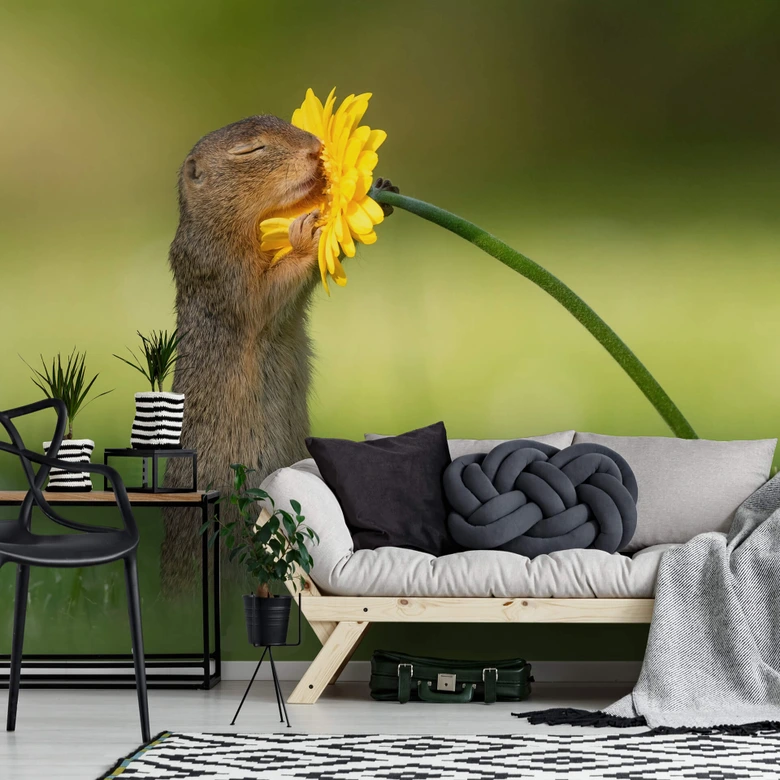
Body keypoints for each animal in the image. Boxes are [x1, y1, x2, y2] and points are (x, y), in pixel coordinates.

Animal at [161, 114, 396, 590]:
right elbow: (264, 296)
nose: (315, 149)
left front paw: (378, 187)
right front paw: (305, 235)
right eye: (250, 150)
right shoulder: (222, 271)